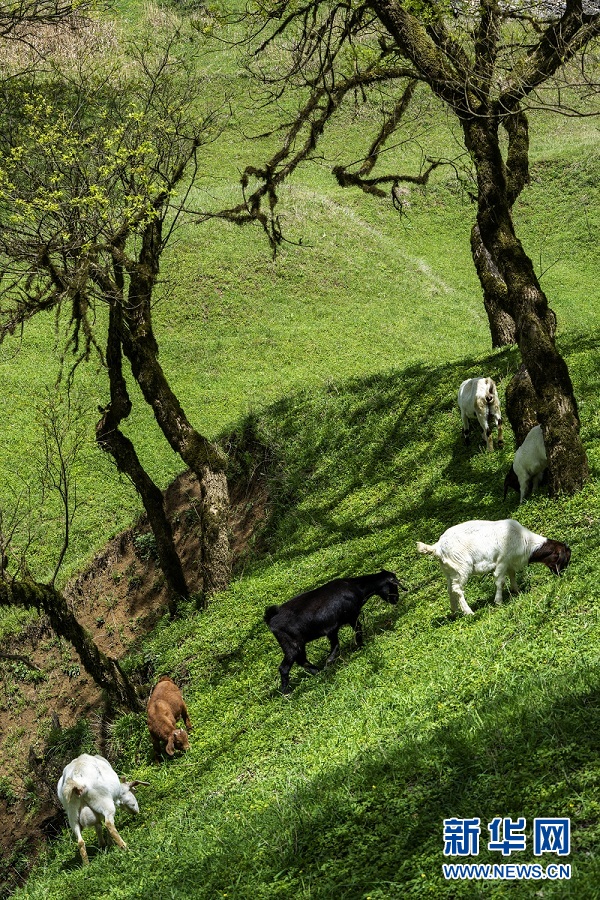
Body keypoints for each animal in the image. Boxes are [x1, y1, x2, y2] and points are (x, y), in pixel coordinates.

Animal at [264, 572, 400, 692]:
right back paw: (286, 691)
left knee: (301, 660)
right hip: (291, 645)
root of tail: (270, 619)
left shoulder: (336, 627)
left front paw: (330, 662)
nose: (396, 599)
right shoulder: (345, 620)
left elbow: (340, 642)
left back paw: (318, 672)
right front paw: (358, 646)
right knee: (284, 667)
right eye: (394, 585)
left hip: (298, 644)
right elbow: (353, 633)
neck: (356, 587)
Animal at [414, 516, 568, 616]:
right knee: (457, 588)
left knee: (450, 589)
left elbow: (512, 575)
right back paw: (469, 612)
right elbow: (500, 580)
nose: (561, 574)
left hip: (449, 571)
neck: (524, 541)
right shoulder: (502, 560)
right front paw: (498, 601)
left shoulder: (509, 562)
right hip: (462, 566)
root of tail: (438, 547)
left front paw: (517, 591)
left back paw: (454, 612)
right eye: (562, 559)